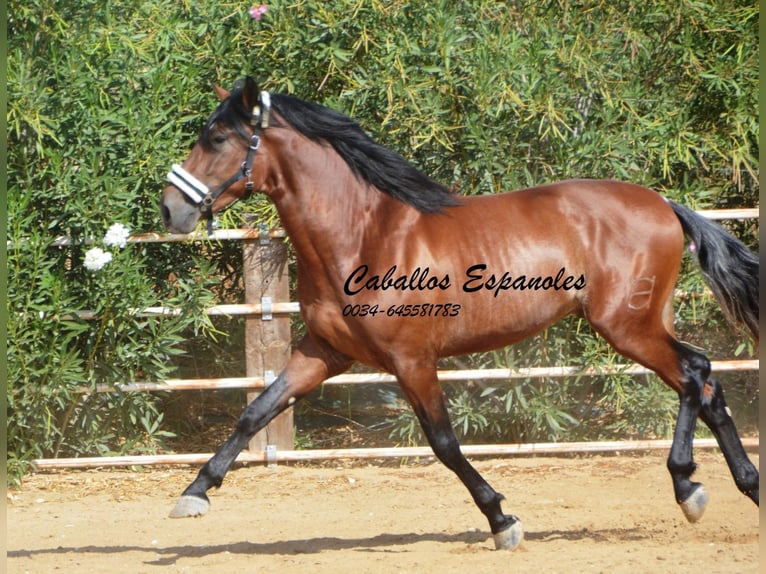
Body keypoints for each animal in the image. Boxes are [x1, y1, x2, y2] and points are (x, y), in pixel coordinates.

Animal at [159, 77, 760, 552]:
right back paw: (745, 487)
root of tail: (664, 206)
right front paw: (194, 494)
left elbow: (444, 443)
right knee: (708, 386)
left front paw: (502, 520)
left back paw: (688, 487)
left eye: (216, 138)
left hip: (627, 326)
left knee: (695, 374)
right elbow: (256, 410)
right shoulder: (324, 353)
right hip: (644, 324)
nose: (170, 209)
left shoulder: (412, 360)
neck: (363, 235)